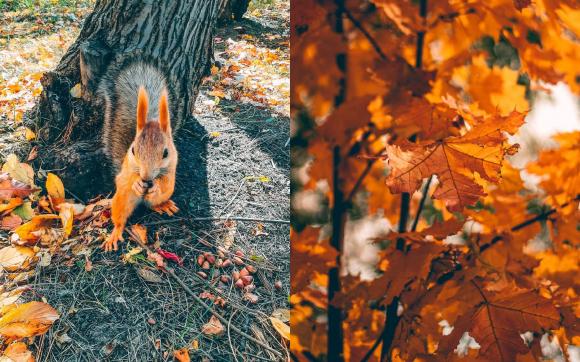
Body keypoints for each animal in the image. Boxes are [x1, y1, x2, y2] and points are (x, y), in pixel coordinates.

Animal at [98, 63, 179, 252]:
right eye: (133, 150)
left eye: (165, 153)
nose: (146, 178)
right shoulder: (126, 169)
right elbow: (124, 179)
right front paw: (136, 182)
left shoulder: (172, 167)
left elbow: (166, 183)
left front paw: (156, 185)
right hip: (121, 200)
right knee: (119, 220)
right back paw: (115, 234)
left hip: (161, 197)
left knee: (154, 203)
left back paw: (163, 204)